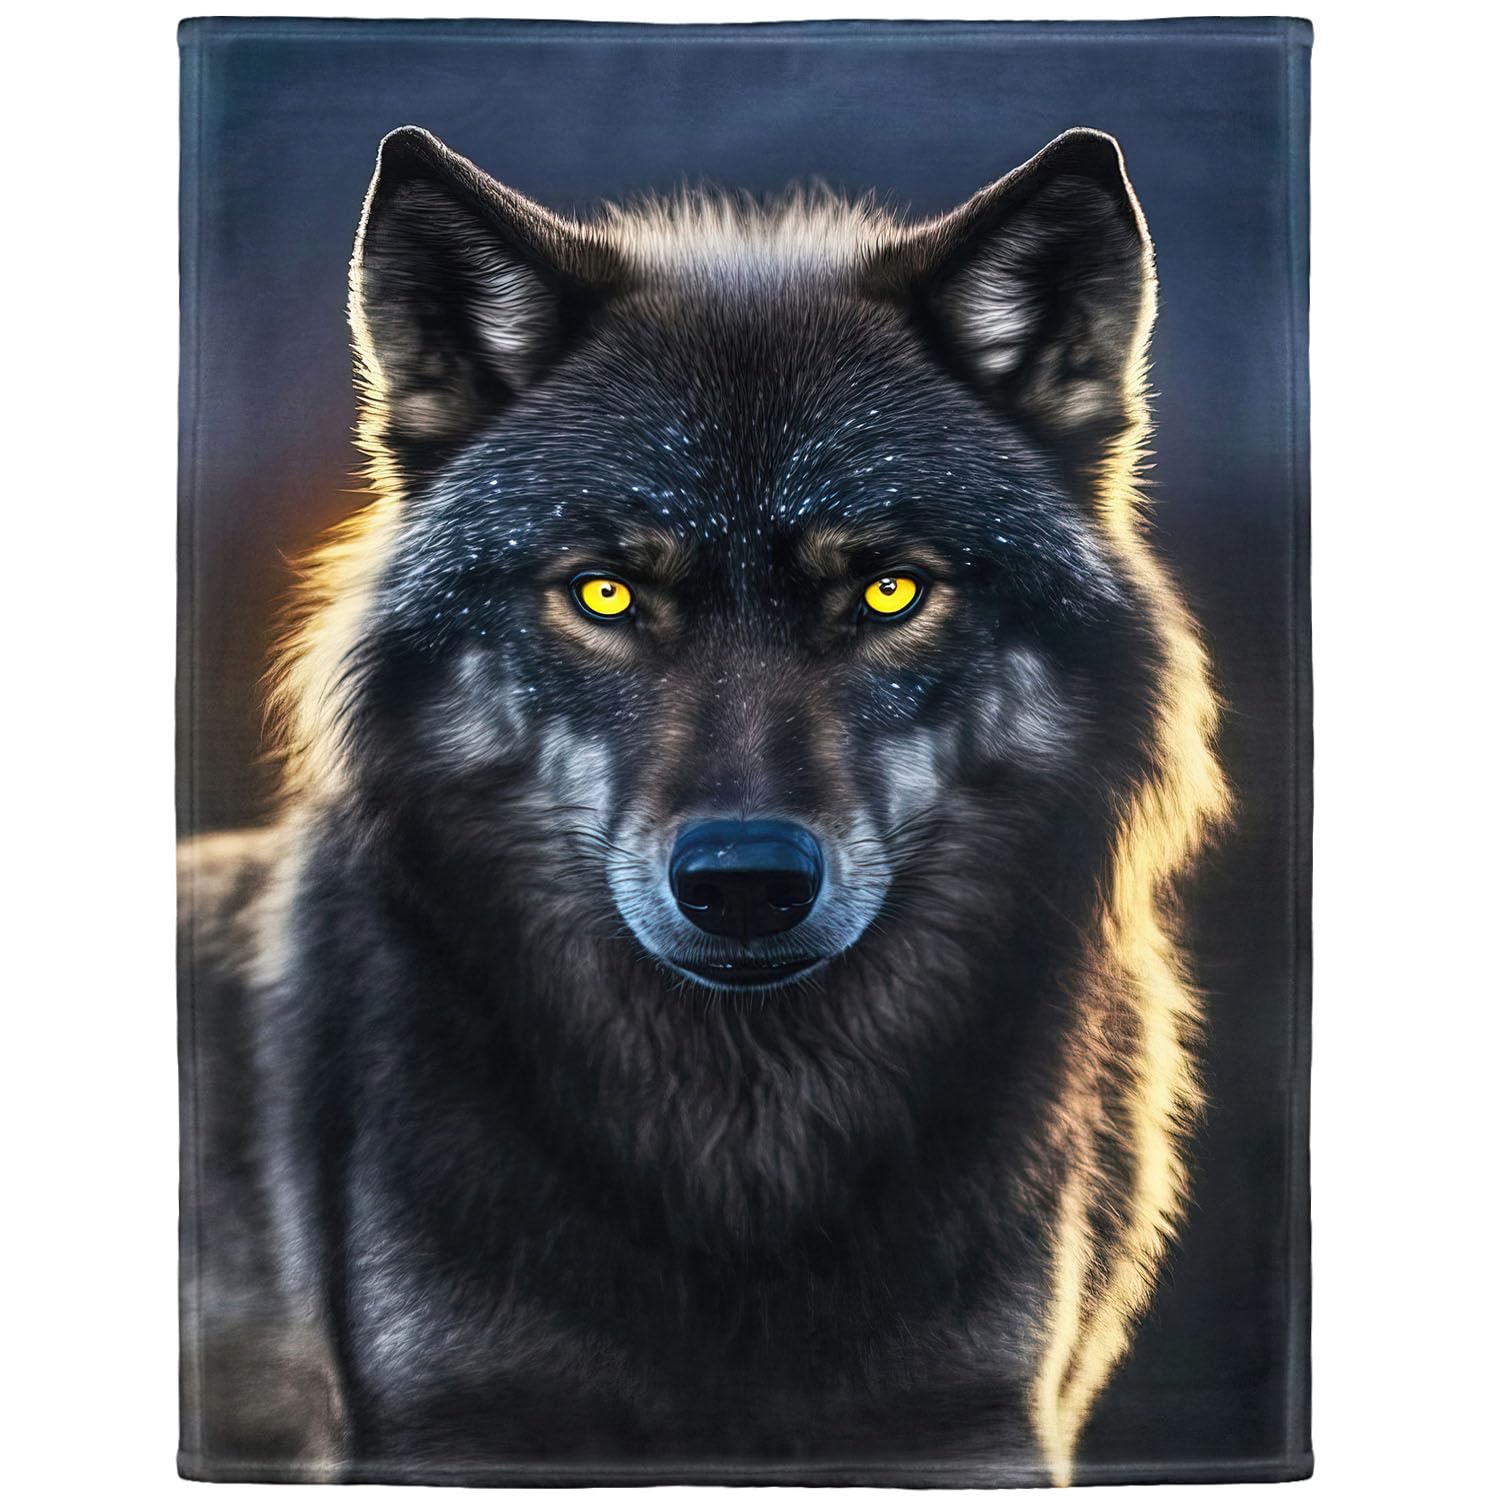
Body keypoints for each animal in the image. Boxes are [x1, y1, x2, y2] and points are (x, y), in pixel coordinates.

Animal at [178, 125, 1227, 1485]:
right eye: (607, 592)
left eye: (889, 590)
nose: (744, 883)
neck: (742, 1162)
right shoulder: (454, 1422)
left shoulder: (971, 1425)